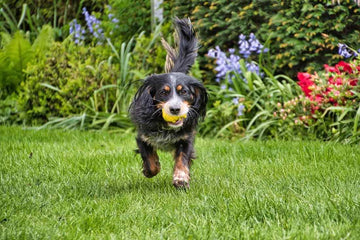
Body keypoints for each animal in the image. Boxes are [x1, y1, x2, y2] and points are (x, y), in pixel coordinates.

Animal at [130, 17, 208, 189]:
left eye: (184, 92)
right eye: (163, 92)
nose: (175, 109)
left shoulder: (186, 138)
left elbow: (182, 158)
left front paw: (181, 179)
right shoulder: (143, 137)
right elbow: (150, 161)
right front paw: (150, 170)